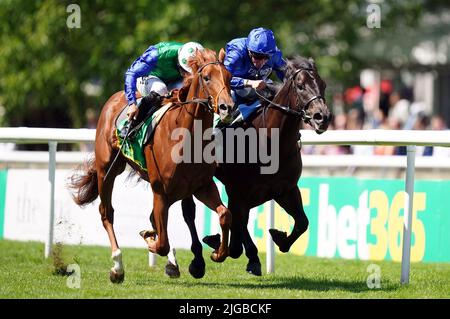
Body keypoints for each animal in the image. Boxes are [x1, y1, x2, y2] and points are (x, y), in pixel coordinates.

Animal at [69, 48, 236, 284]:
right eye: (206, 77)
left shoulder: (202, 186)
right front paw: (149, 239)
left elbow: (224, 214)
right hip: (107, 171)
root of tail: (113, 98)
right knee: (106, 212)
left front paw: (216, 253)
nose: (227, 108)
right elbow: (162, 242)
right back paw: (117, 266)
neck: (186, 136)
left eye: (229, 77)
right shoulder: (160, 191)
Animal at [178, 56, 330, 276]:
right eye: (300, 86)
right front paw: (245, 255)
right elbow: (237, 226)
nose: (322, 117)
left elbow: (302, 222)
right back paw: (197, 262)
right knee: (189, 212)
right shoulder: (238, 190)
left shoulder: (285, 189)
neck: (270, 142)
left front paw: (279, 238)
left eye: (323, 85)